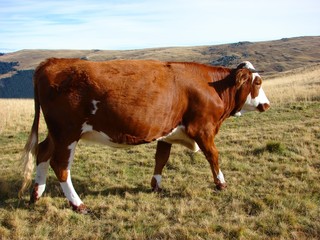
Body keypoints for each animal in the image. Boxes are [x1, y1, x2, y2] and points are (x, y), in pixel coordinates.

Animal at [18, 59, 270, 213]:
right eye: (257, 82)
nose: (267, 104)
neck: (212, 87)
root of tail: (52, 61)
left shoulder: (167, 132)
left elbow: (161, 159)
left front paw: (156, 186)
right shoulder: (203, 129)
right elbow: (213, 156)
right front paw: (221, 184)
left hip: (57, 133)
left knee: (43, 151)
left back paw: (37, 194)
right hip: (67, 133)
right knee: (60, 165)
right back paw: (78, 204)